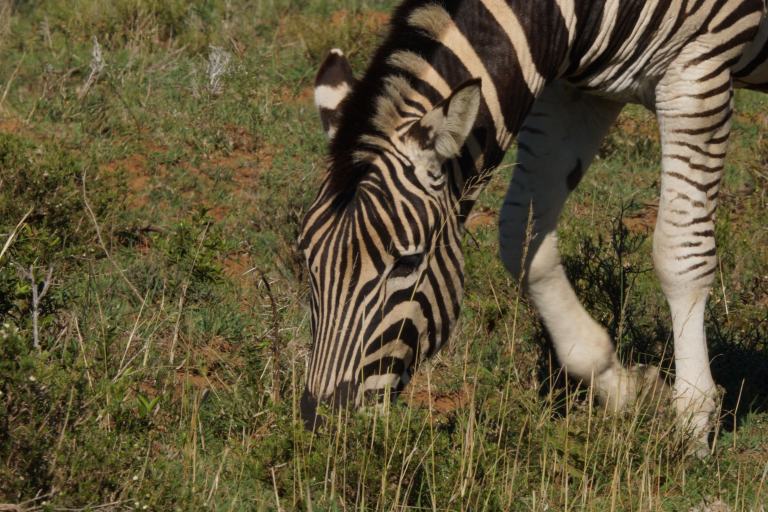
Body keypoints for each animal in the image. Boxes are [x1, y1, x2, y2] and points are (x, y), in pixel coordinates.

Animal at [299, 0, 768, 456]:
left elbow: (679, 252)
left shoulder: (699, 66)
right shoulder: (576, 87)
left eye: (407, 263)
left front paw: (692, 422)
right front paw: (626, 389)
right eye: (305, 260)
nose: (323, 426)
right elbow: (521, 239)